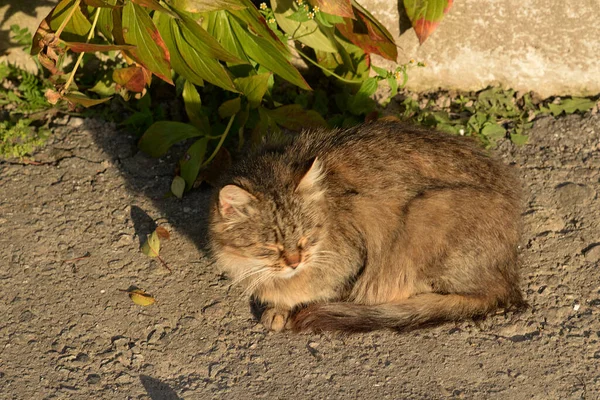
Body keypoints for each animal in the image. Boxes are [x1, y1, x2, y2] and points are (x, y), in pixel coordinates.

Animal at [209, 120, 524, 332]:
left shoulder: (351, 260)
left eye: (306, 238)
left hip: (427, 210)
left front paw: (281, 306)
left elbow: (312, 289)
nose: (295, 262)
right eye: (270, 247)